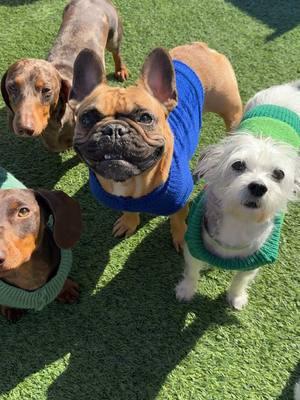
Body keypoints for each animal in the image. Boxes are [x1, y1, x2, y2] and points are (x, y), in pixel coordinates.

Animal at [176, 80, 300, 310]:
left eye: (279, 174)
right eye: (238, 165)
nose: (258, 187)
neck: (239, 221)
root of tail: (291, 87)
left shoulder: (255, 261)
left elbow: (240, 279)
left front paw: (236, 297)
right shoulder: (193, 247)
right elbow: (192, 271)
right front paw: (186, 290)